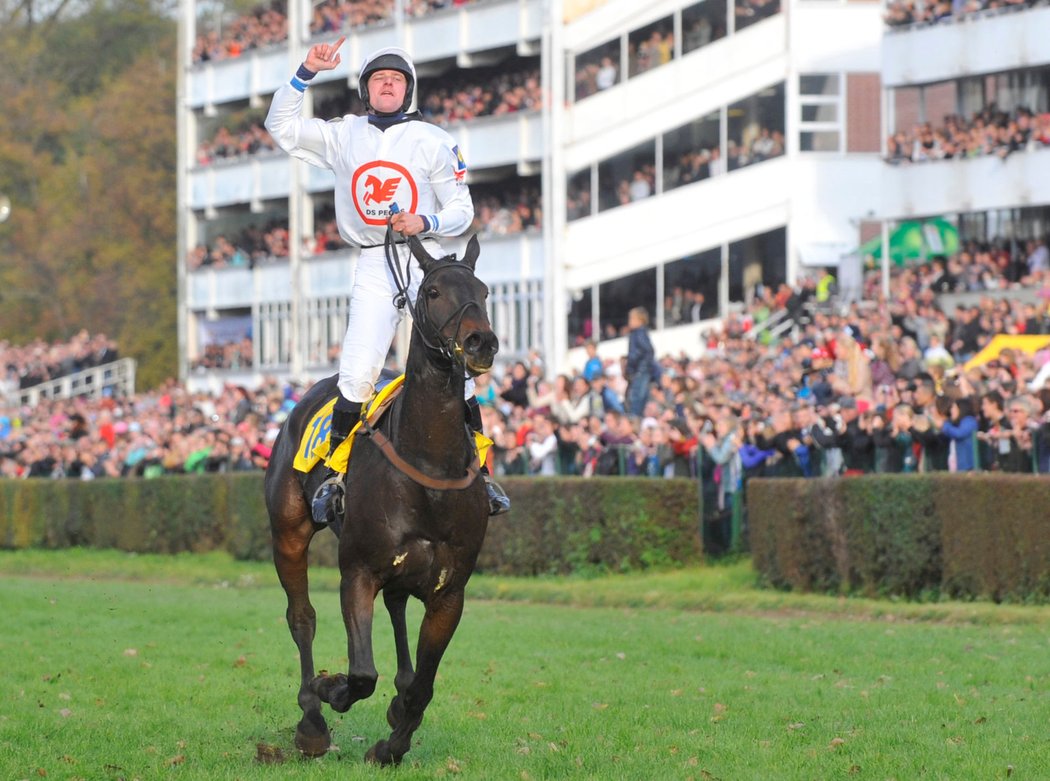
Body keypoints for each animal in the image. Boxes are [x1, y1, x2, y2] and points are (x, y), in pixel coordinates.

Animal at [260, 235, 493, 764]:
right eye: (432, 292)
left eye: (485, 291)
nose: (480, 343)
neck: (430, 466)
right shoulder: (358, 570)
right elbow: (362, 673)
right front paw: (330, 689)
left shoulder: (450, 590)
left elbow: (424, 685)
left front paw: (393, 742)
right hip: (288, 531)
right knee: (301, 617)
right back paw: (311, 719)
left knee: (397, 607)